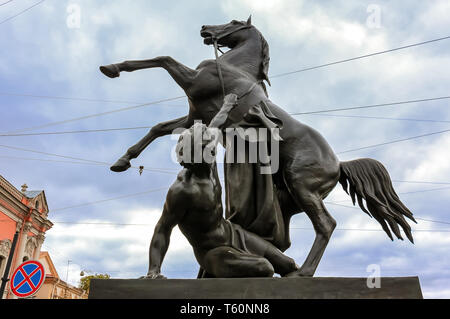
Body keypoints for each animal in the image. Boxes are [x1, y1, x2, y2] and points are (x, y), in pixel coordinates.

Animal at [100, 16, 416, 278]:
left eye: (233, 22)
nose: (205, 28)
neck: (231, 67)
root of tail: (339, 164)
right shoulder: (195, 116)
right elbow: (159, 127)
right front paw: (122, 161)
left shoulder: (192, 83)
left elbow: (163, 58)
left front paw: (111, 68)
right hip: (289, 197)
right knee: (286, 235)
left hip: (302, 187)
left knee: (326, 225)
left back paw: (303, 273)